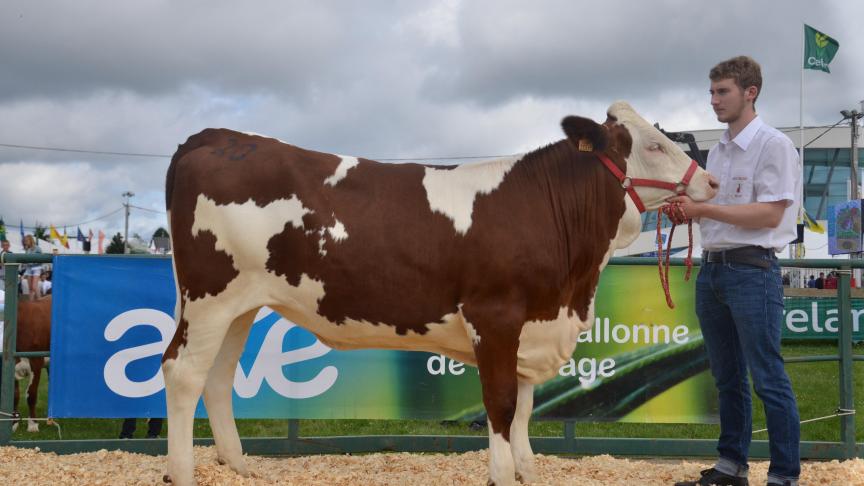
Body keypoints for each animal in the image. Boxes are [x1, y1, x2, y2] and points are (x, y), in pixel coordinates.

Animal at [160, 100, 716, 484]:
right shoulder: (494, 314)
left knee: (218, 377)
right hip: (210, 297)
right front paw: (501, 474)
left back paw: (238, 466)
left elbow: (526, 405)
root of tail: (217, 135)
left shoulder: (533, 322)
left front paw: (526, 470)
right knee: (183, 373)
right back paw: (182, 472)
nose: (710, 182)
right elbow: (501, 402)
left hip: (241, 304)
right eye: (653, 146)